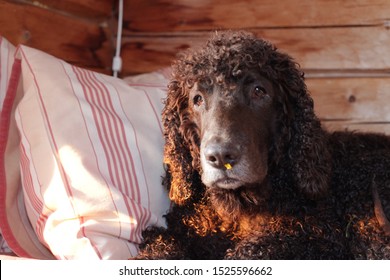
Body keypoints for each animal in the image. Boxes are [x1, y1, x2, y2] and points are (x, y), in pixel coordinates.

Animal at [137, 30, 390, 260]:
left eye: (259, 91)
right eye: (197, 99)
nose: (220, 156)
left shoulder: (315, 235)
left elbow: (252, 250)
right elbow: (161, 247)